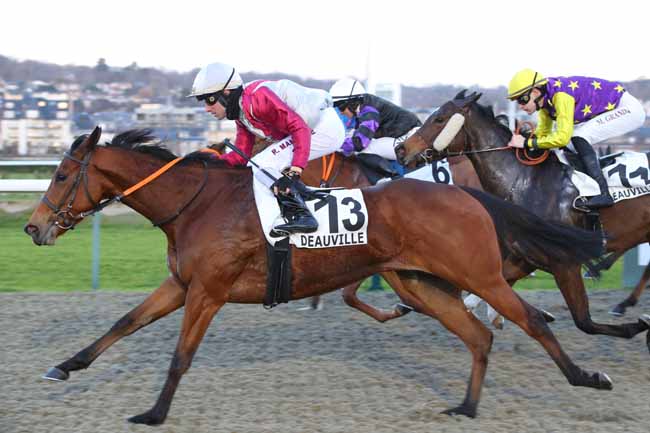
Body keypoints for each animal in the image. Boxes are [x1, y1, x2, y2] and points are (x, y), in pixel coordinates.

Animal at [25, 127, 611, 425]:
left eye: (62, 174)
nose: (33, 228)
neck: (196, 204)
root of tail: (467, 193)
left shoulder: (209, 292)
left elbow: (180, 357)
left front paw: (153, 412)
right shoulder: (182, 285)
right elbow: (124, 323)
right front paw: (65, 366)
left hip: (481, 276)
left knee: (531, 320)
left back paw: (589, 377)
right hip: (416, 282)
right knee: (478, 334)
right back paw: (465, 407)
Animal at [395, 91, 650, 349]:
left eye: (440, 119)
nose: (401, 149)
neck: (525, 180)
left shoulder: (564, 263)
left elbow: (584, 322)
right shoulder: (527, 255)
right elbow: (491, 284)